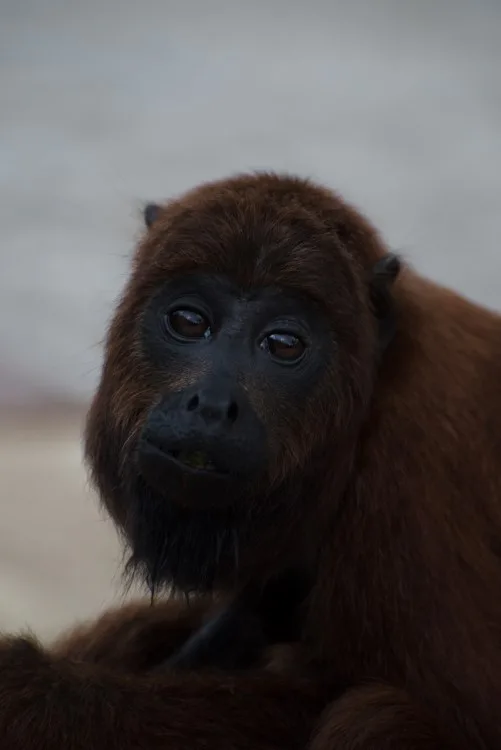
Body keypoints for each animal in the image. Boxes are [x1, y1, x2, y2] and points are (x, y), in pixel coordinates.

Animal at [0, 170, 500, 750]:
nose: (214, 405)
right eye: (188, 321)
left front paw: (23, 688)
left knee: (376, 716)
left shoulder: (410, 475)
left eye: (282, 344)